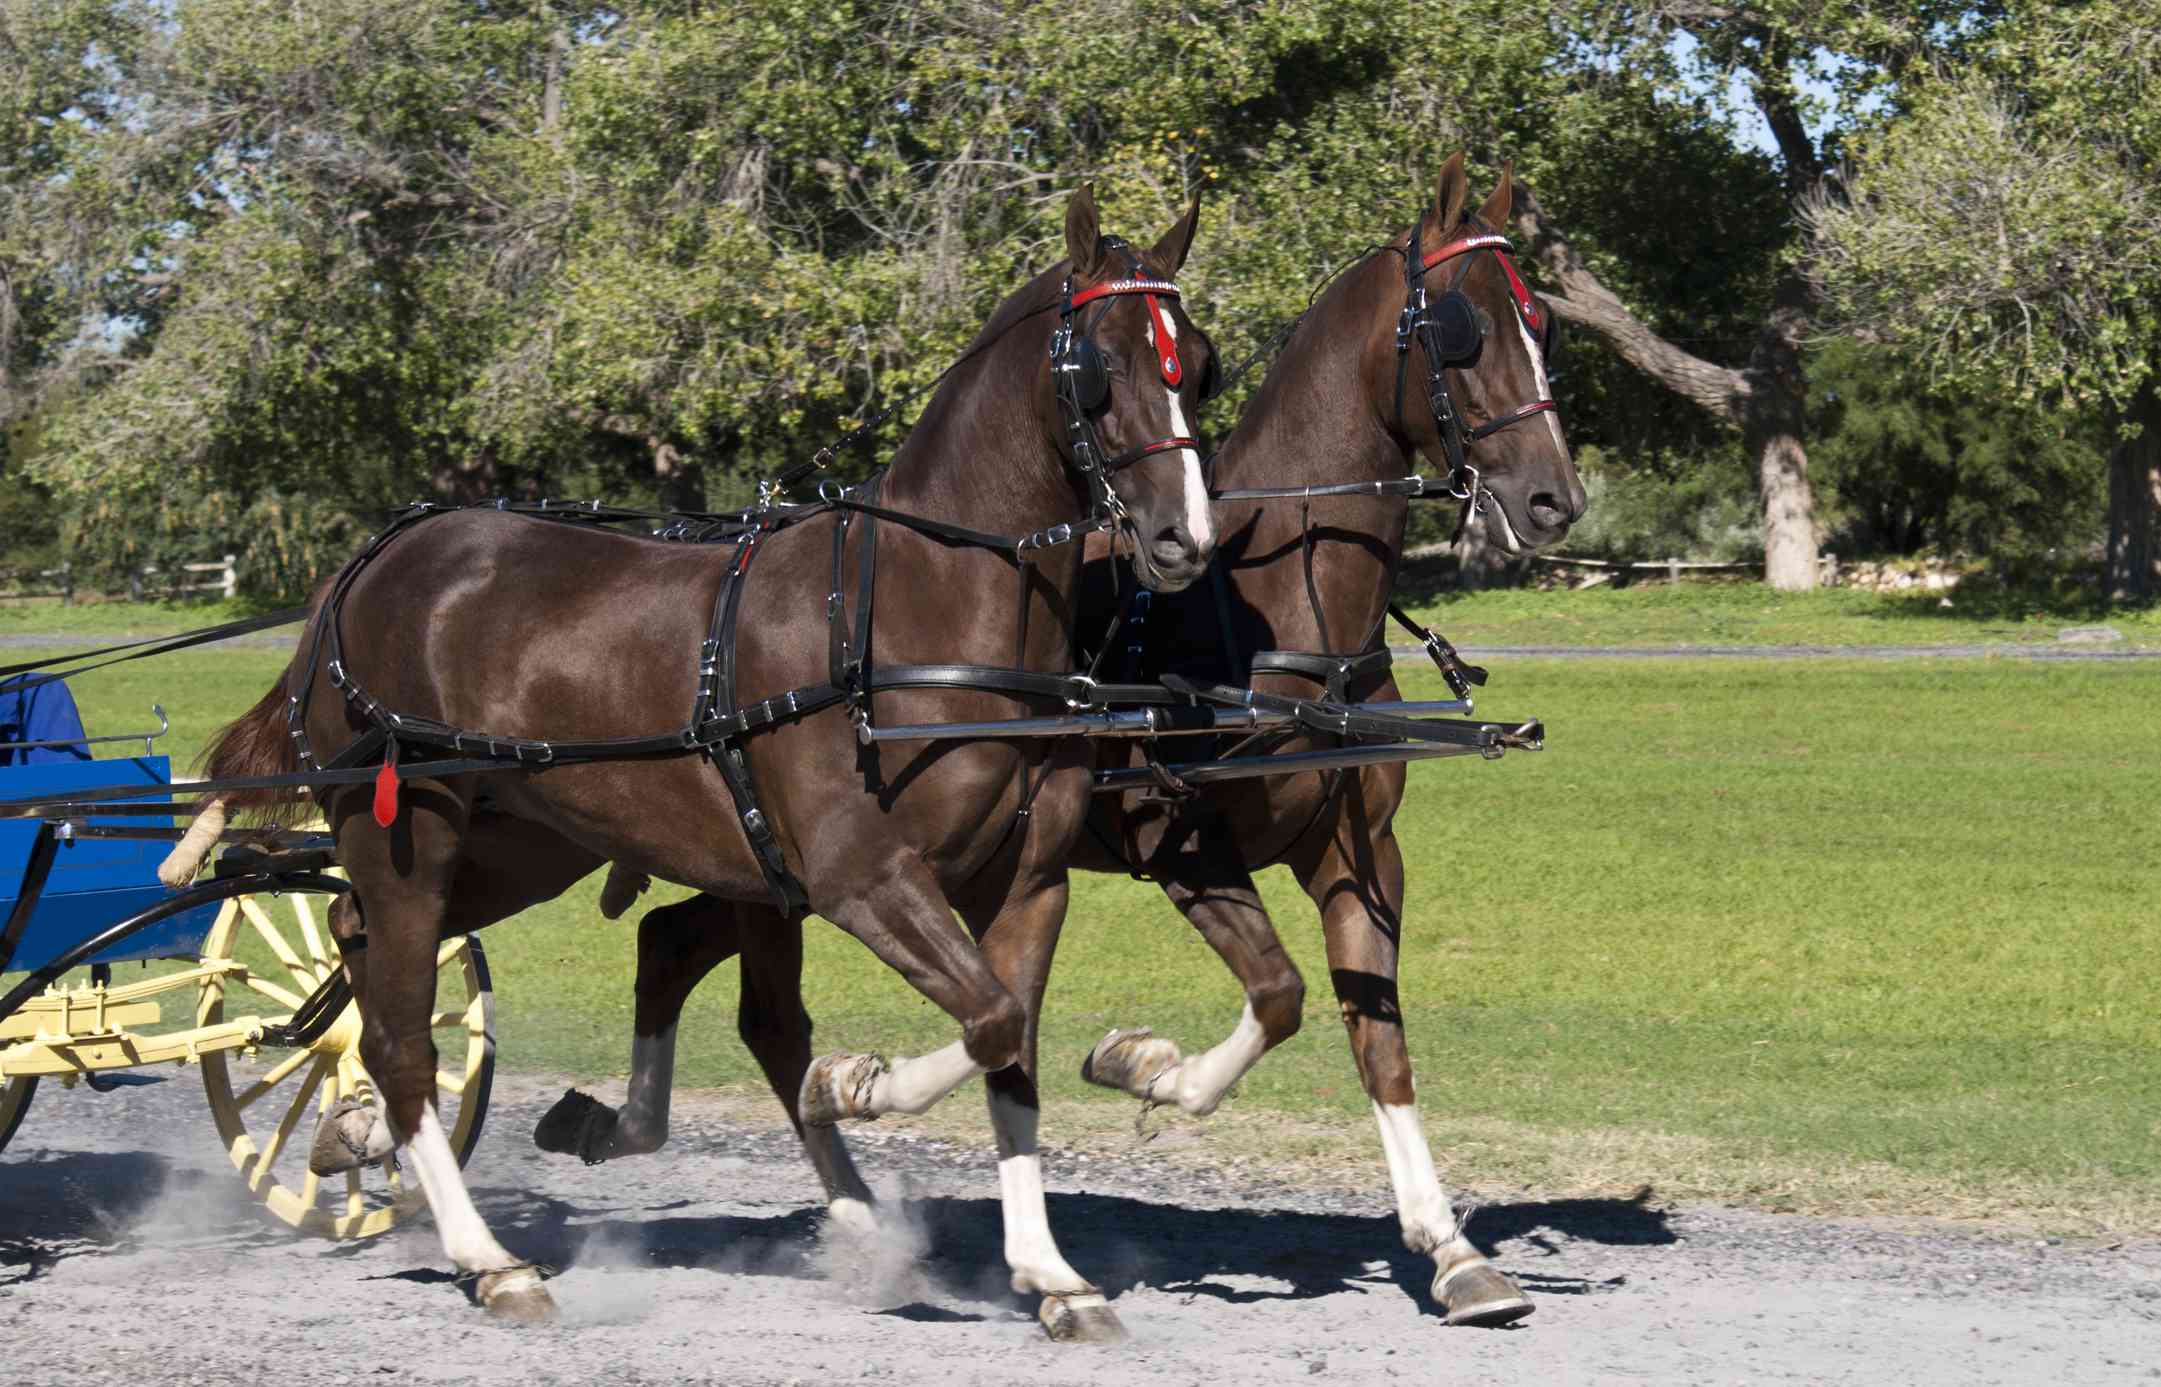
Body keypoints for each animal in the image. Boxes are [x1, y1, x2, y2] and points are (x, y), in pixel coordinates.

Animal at [190, 185, 1218, 1330]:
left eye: (1199, 361)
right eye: (1098, 369)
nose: (1183, 538)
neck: (919, 606)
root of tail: (362, 567)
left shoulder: (1027, 883)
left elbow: (1012, 1047)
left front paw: (1049, 1271)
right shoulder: (862, 875)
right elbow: (981, 1021)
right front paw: (857, 1086)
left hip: (521, 847)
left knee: (358, 946)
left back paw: (359, 1123)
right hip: (407, 836)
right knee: (403, 1034)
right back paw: (486, 1253)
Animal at [544, 156, 1590, 1322]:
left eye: (1541, 320)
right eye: (1460, 330)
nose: (1553, 498)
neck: (1272, 612)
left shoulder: (1357, 857)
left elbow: (1376, 1038)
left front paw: (1451, 1249)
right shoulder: (1178, 846)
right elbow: (1275, 994)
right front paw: (1144, 1066)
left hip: (766, 869)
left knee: (676, 944)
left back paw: (641, 1129)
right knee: (763, 1012)